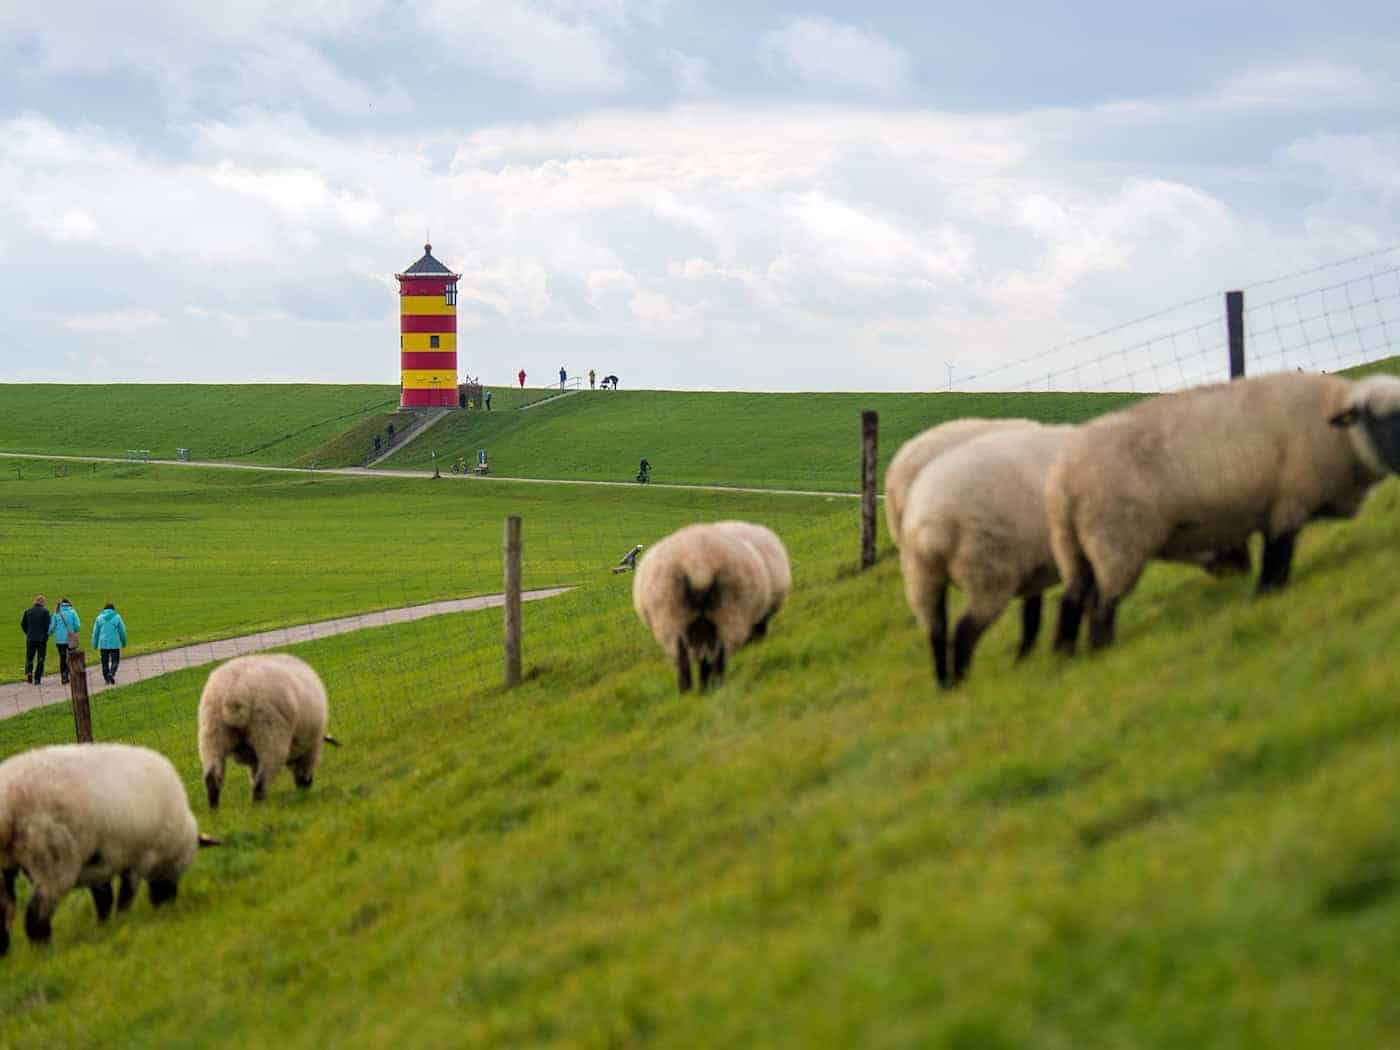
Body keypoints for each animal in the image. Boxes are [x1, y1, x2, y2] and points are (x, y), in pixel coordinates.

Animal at [0, 743, 218, 955]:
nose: (166, 905)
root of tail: (8, 800)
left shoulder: (101, 864)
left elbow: (104, 898)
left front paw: (104, 925)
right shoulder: (140, 858)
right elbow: (125, 895)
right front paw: (122, 919)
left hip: (7, 867)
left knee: (5, 911)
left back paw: (7, 953)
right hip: (52, 860)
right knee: (36, 915)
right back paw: (44, 950)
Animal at [198, 653, 339, 808]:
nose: (309, 784)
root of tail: (235, 692)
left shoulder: (254, 759)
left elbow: (253, 774)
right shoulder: (310, 748)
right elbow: (302, 770)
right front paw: (303, 790)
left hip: (212, 735)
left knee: (212, 777)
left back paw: (215, 810)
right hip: (270, 735)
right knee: (261, 781)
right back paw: (259, 807)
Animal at [632, 523, 773, 693]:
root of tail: (698, 563)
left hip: (674, 617)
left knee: (688, 658)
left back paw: (692, 691)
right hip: (725, 614)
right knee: (712, 655)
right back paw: (707, 687)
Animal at [900, 423, 1075, 686]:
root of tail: (933, 523)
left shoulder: (1037, 569)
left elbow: (1032, 615)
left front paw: (1025, 660)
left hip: (922, 574)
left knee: (936, 630)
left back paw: (945, 685)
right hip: (989, 570)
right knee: (964, 631)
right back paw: (962, 683)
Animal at [1047, 371, 1400, 652]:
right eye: (1376, 419)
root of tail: (1063, 482)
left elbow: (1277, 556)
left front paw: (1267, 594)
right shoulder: (1288, 502)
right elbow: (1278, 555)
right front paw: (1268, 594)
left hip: (1074, 547)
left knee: (1072, 598)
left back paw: (1065, 656)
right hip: (1116, 542)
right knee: (1101, 604)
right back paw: (1101, 649)